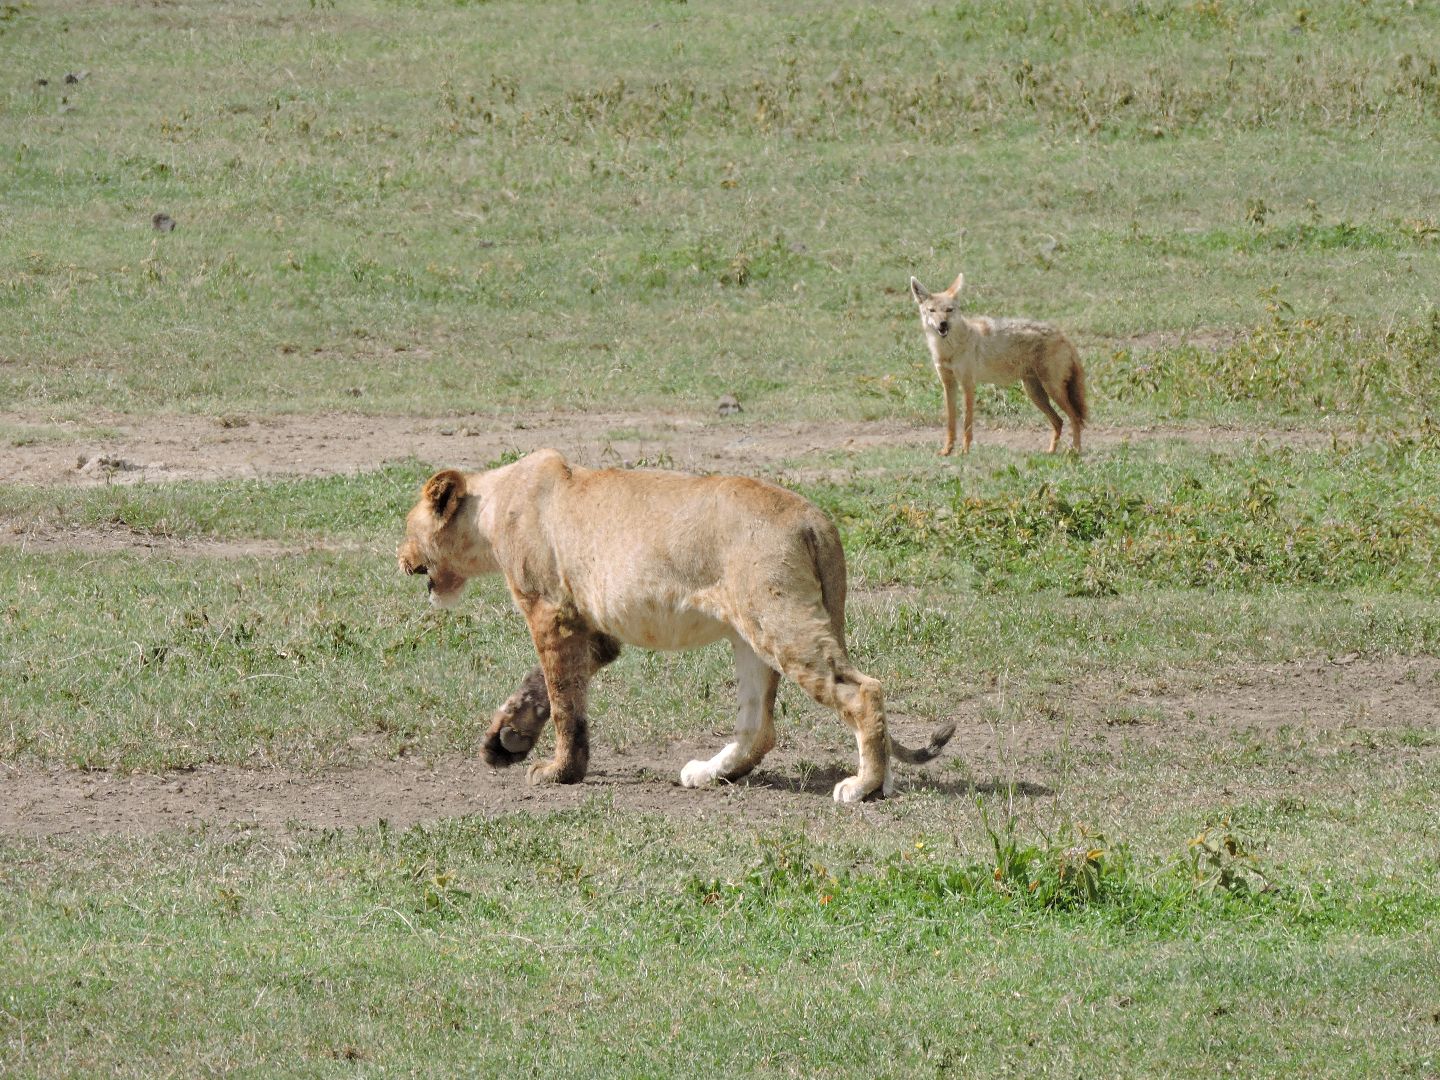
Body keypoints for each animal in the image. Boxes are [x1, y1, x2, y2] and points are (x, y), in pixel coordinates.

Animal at [396, 449, 955, 802]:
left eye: (406, 526)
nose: (399, 558)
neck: (491, 507)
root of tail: (815, 518)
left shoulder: (551, 613)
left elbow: (563, 702)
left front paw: (558, 771)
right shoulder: (594, 629)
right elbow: (545, 689)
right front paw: (506, 739)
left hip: (779, 620)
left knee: (862, 690)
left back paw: (863, 786)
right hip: (751, 634)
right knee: (760, 727)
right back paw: (709, 773)